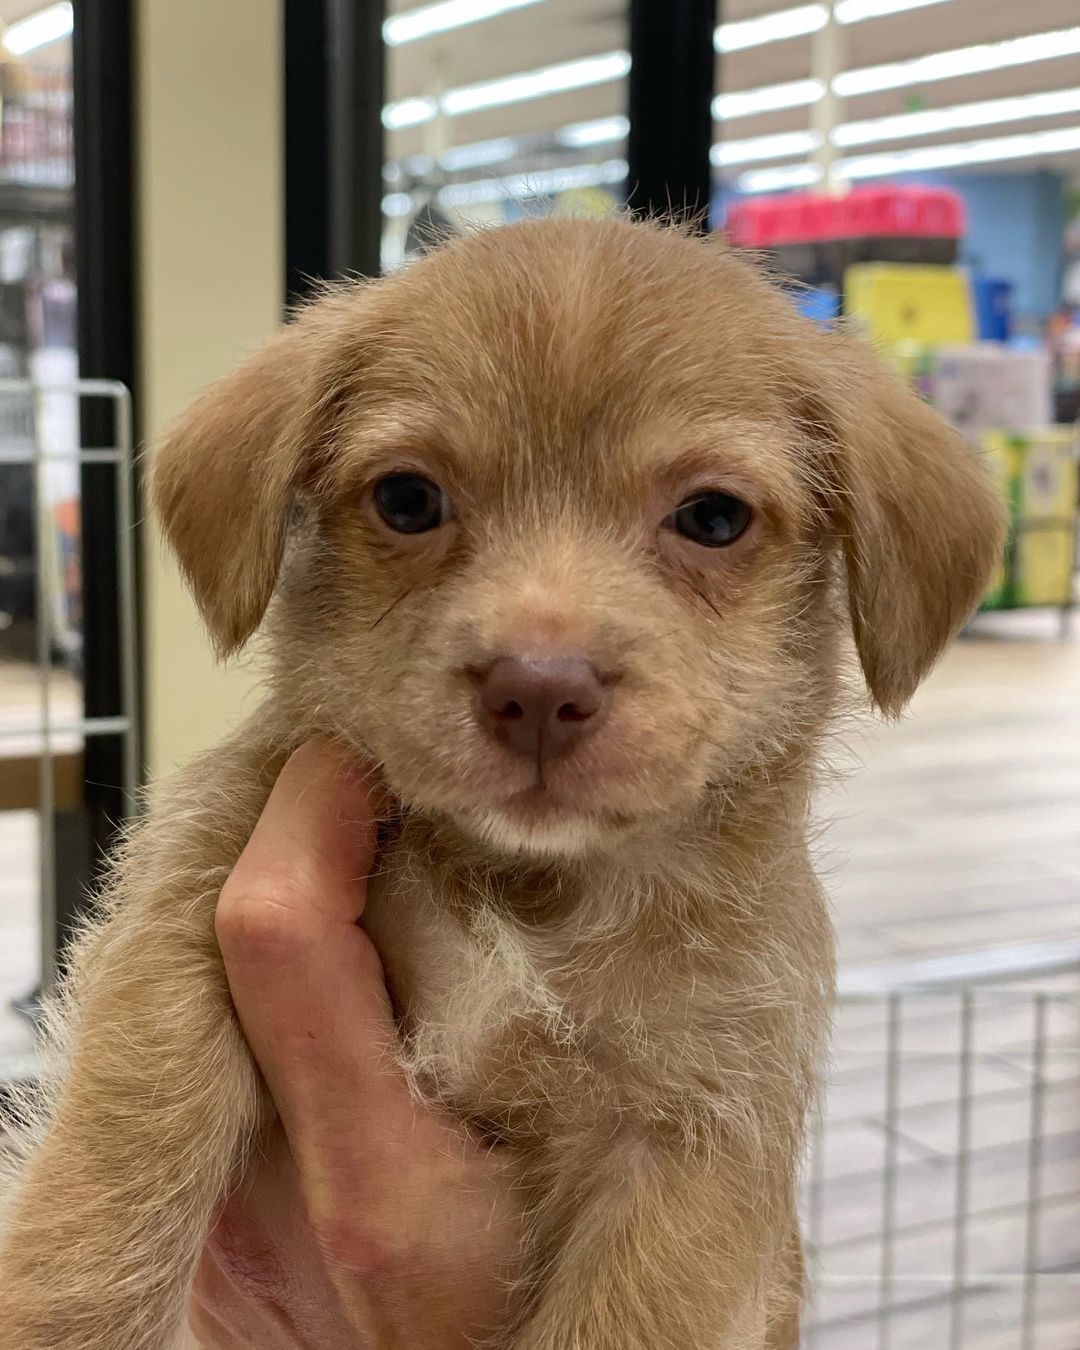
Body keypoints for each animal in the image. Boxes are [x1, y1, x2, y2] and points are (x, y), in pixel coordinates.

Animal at [0, 221, 1004, 1350]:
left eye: (712, 517)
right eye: (408, 499)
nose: (539, 689)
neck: (527, 888)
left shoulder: (689, 1138)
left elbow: (620, 1320)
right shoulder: (184, 910)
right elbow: (125, 1143)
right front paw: (64, 1315)